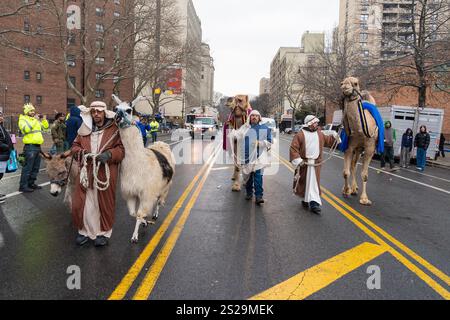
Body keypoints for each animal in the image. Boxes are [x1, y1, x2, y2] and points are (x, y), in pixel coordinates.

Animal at [342, 76, 380, 206]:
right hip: (357, 149)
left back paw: (355, 188)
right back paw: (353, 188)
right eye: (342, 82)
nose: (344, 87)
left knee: (355, 165)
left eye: (355, 83)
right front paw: (346, 190)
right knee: (353, 165)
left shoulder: (369, 149)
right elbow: (346, 172)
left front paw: (364, 199)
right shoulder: (350, 147)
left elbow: (365, 175)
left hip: (361, 149)